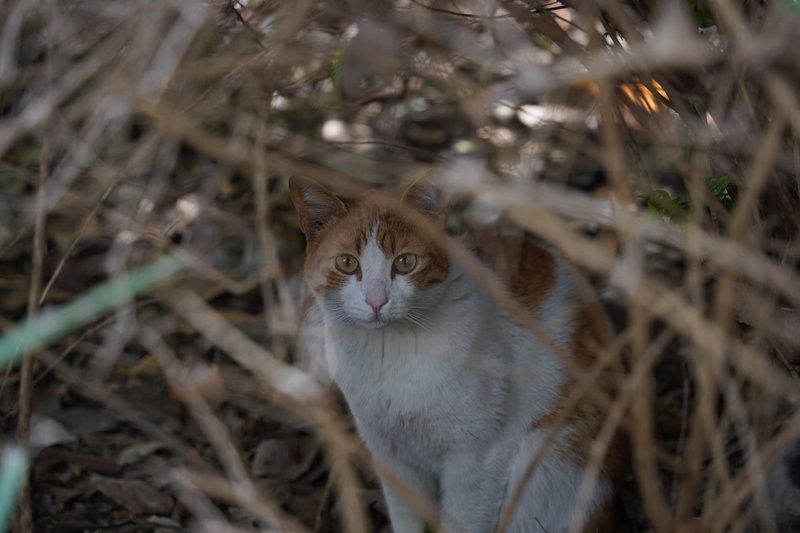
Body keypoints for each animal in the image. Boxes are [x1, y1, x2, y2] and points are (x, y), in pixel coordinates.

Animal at [290, 178, 628, 532]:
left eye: (405, 262)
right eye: (347, 263)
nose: (376, 301)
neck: (389, 353)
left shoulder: (476, 457)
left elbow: (463, 520)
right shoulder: (391, 453)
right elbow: (408, 518)